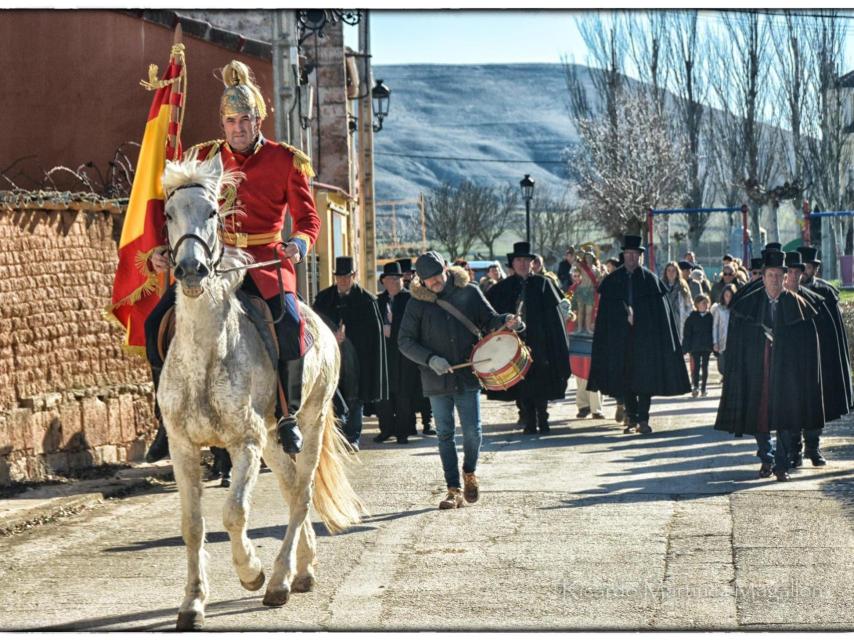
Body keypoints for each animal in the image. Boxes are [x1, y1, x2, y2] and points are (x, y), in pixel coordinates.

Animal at [159, 154, 366, 632]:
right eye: (168, 214)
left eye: (212, 212)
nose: (191, 270)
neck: (207, 353)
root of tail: (323, 324)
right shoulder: (183, 446)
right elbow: (192, 524)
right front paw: (192, 603)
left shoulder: (245, 443)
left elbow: (233, 512)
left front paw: (250, 571)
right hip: (274, 436)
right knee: (291, 490)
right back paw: (301, 569)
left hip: (308, 422)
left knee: (302, 493)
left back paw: (278, 580)